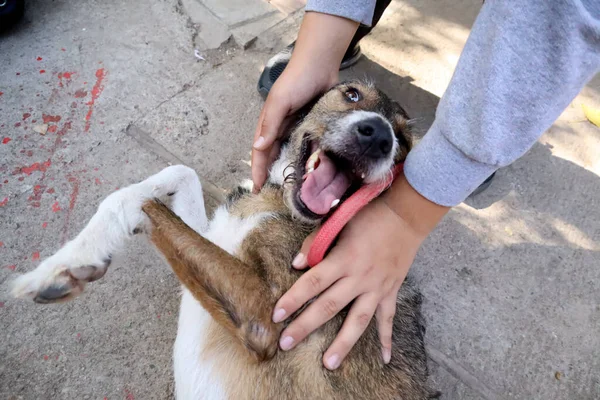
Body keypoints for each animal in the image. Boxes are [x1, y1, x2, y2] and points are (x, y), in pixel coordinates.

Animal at [12, 79, 436, 398]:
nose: (379, 137)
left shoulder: (266, 319)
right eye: (351, 95)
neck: (279, 203)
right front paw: (71, 258)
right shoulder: (213, 237)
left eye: (403, 141)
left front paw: (60, 268)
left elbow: (143, 203)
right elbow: (175, 176)